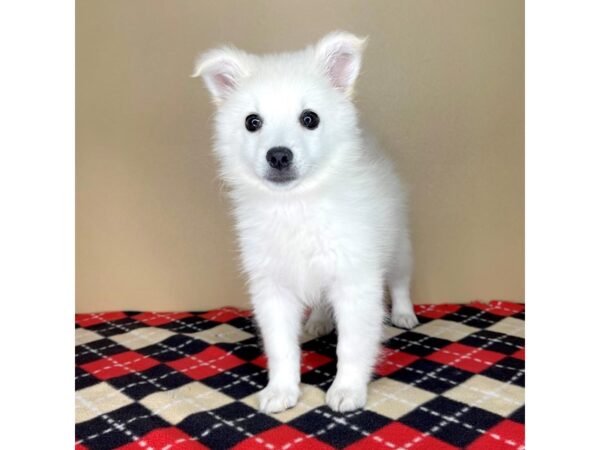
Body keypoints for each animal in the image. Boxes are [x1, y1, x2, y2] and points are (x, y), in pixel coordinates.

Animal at [193, 29, 418, 414]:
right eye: (252, 122)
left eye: (309, 118)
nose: (279, 155)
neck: (294, 205)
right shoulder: (272, 287)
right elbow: (281, 347)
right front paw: (281, 390)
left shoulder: (354, 280)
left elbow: (352, 345)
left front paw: (347, 390)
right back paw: (318, 321)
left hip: (398, 242)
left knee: (400, 279)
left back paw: (404, 314)